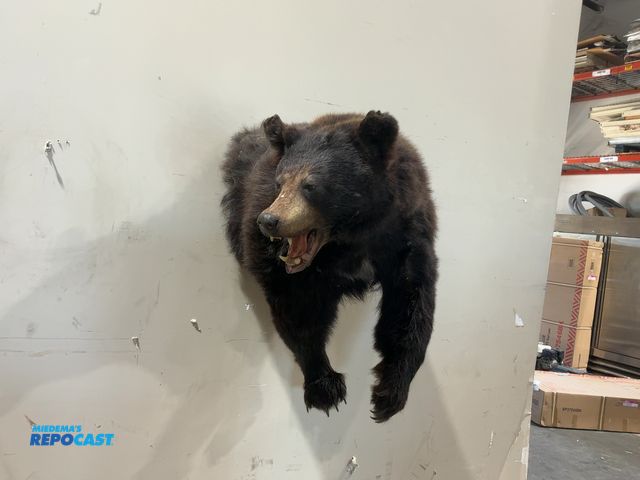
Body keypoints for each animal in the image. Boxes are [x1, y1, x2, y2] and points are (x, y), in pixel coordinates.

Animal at [221, 111, 437, 422]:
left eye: (311, 185)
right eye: (279, 182)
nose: (269, 220)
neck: (351, 239)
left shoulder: (406, 236)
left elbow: (410, 305)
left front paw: (389, 393)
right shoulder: (290, 271)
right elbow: (299, 312)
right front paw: (324, 386)